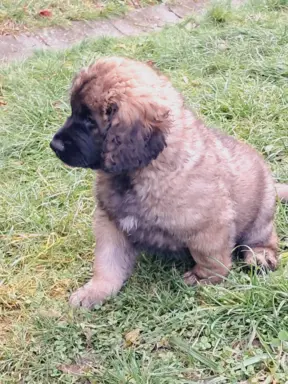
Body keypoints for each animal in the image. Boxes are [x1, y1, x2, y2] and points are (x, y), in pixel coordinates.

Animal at [50, 56, 288, 308]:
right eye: (73, 111)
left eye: (89, 120)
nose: (54, 145)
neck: (142, 172)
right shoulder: (111, 223)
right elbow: (107, 263)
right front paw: (95, 291)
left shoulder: (210, 228)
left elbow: (212, 260)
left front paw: (202, 278)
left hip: (261, 214)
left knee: (265, 238)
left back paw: (261, 255)